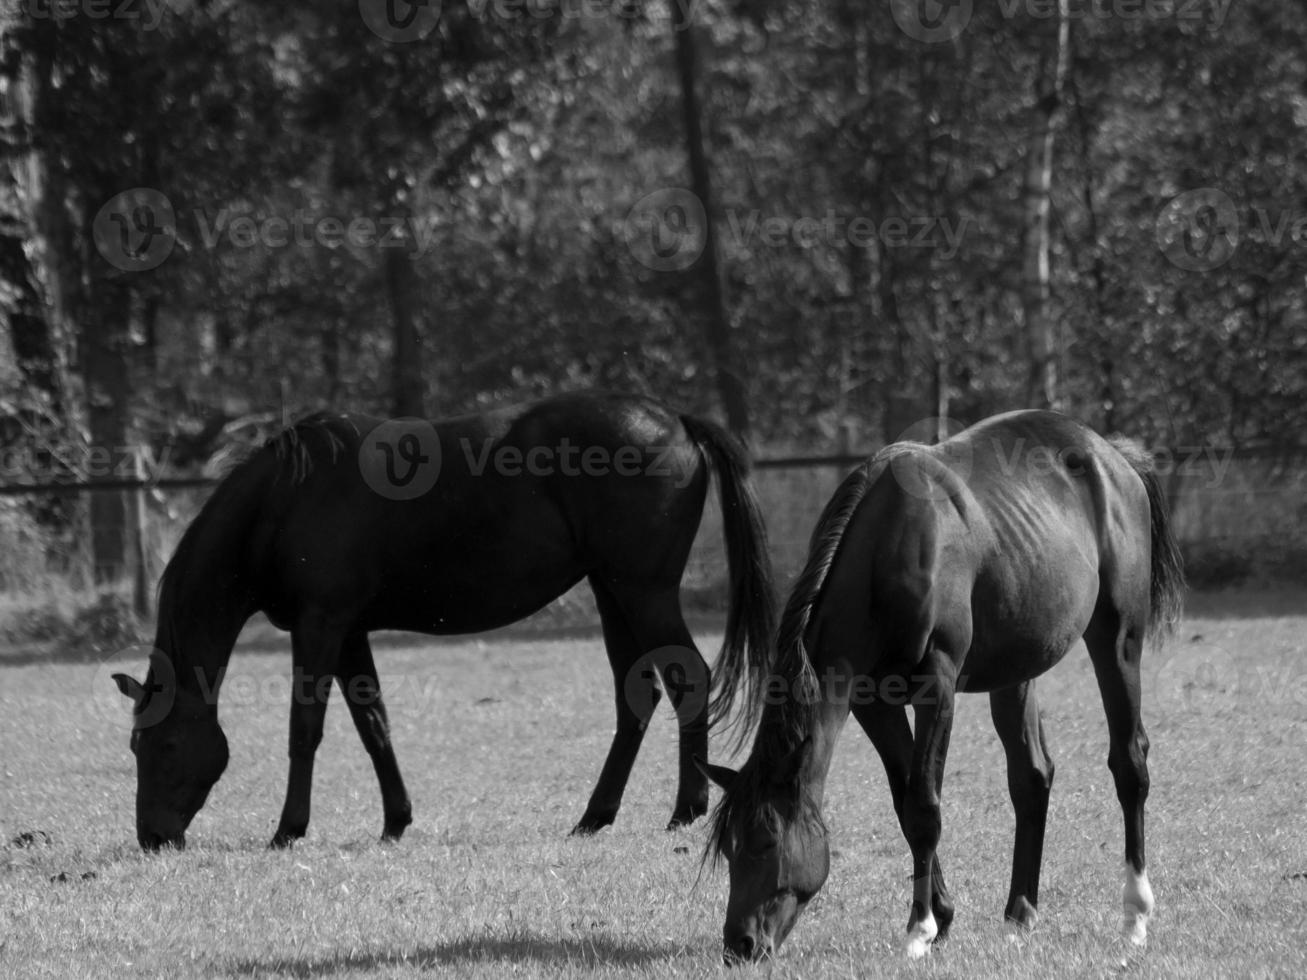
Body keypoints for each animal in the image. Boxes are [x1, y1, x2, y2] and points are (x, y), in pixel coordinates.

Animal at [112, 391, 768, 851]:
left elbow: (306, 728)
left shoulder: (320, 624)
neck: (286, 498)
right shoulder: (349, 632)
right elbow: (373, 723)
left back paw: (685, 808)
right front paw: (395, 821)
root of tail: (675, 420)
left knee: (688, 679)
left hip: (643, 592)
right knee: (637, 696)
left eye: (163, 745)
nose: (153, 837)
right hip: (613, 592)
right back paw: (594, 816)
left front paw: (288, 829)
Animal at [705, 412, 1186, 966]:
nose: (739, 944)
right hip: (1017, 670)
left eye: (764, 843)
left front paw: (920, 928)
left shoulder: (938, 690)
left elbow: (925, 807)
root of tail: (1111, 455)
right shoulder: (873, 703)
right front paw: (943, 916)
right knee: (1032, 777)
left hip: (1117, 639)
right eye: (728, 848)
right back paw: (1020, 915)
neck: (883, 556)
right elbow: (904, 801)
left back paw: (1135, 916)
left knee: (1129, 763)